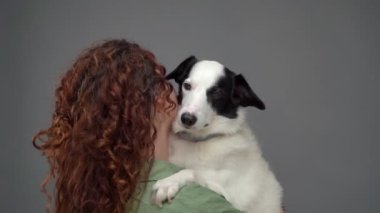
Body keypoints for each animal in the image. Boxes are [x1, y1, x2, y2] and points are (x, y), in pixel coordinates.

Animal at [153, 55, 284, 212]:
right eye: (187, 86)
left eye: (217, 93)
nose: (187, 119)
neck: (199, 141)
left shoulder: (231, 195)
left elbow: (193, 172)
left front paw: (168, 182)